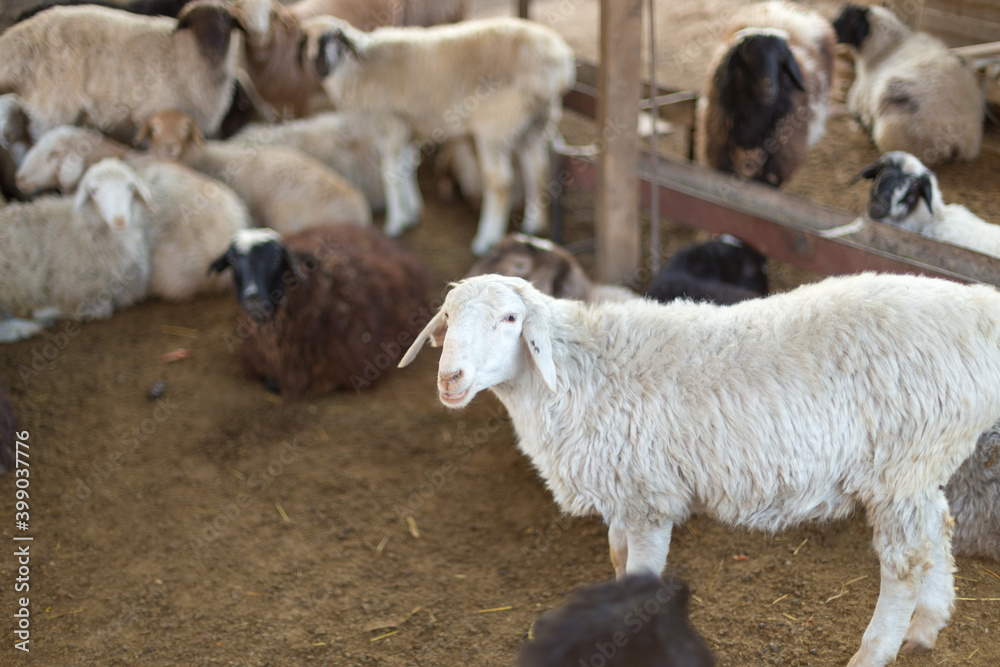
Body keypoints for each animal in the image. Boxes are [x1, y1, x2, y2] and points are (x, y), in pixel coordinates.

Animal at [0, 1, 245, 143]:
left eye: (227, 23)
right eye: (194, 23)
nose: (214, 49)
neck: (178, 51)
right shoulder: (153, 113)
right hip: (53, 104)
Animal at [0, 158, 151, 342]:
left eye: (130, 187)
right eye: (94, 191)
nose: (119, 220)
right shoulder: (75, 288)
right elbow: (102, 310)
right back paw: (26, 326)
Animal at [301, 15, 576, 254]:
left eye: (331, 39)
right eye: (306, 42)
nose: (319, 67)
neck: (356, 68)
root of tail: (556, 63)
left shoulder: (389, 123)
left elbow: (389, 174)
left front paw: (395, 223)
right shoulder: (407, 125)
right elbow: (405, 167)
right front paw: (411, 213)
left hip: (496, 124)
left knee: (500, 183)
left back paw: (486, 240)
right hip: (535, 123)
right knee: (537, 169)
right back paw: (534, 225)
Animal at [695, 1, 835, 186]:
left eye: (781, 58)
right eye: (746, 55)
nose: (768, 88)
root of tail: (786, 7)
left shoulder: (777, 169)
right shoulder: (720, 158)